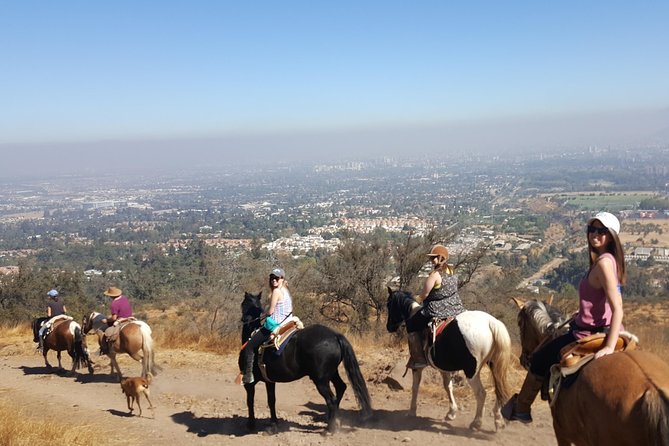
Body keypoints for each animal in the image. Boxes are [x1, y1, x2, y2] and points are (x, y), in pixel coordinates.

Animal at [237, 290, 370, 434]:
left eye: (244, 304)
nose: (244, 320)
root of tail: (335, 336)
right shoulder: (269, 381)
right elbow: (271, 400)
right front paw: (273, 424)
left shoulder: (250, 384)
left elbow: (250, 401)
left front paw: (251, 424)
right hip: (331, 373)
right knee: (341, 388)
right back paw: (334, 420)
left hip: (321, 380)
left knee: (331, 400)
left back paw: (329, 429)